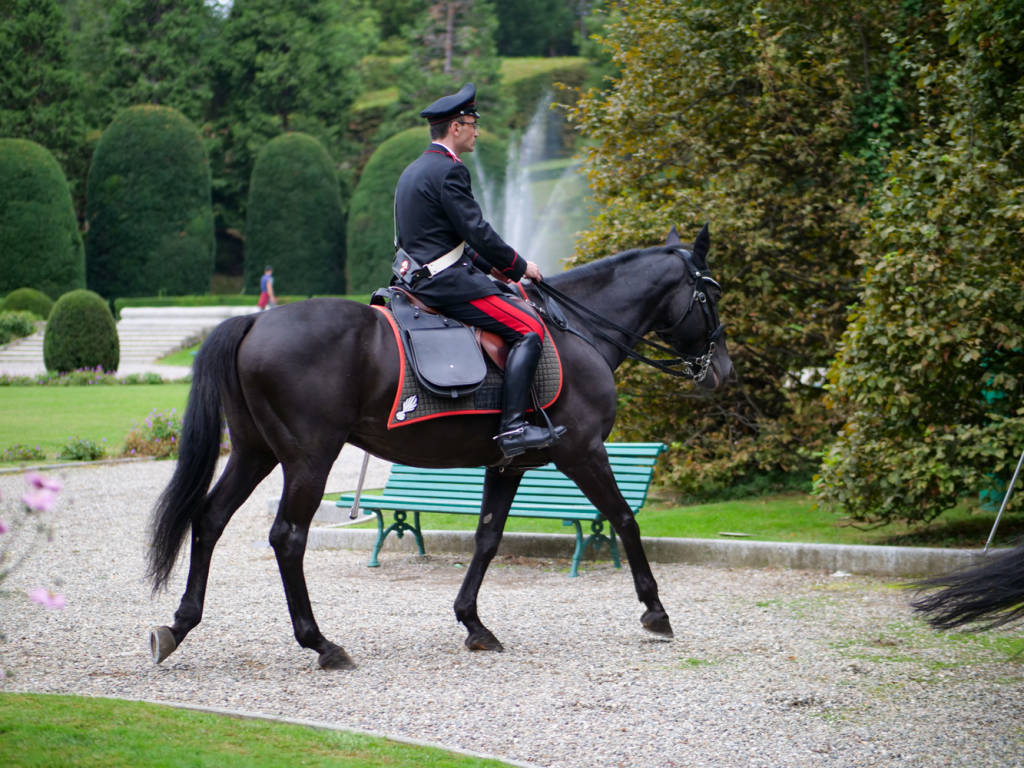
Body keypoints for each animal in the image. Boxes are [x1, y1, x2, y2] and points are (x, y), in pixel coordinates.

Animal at [148, 225, 733, 671]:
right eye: (712, 293)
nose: (722, 370)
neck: (578, 328)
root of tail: (256, 319)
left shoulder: (508, 463)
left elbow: (487, 538)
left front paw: (473, 622)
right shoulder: (584, 452)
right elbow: (625, 519)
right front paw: (655, 609)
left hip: (255, 453)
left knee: (210, 518)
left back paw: (179, 625)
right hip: (309, 459)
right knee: (287, 537)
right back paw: (322, 643)